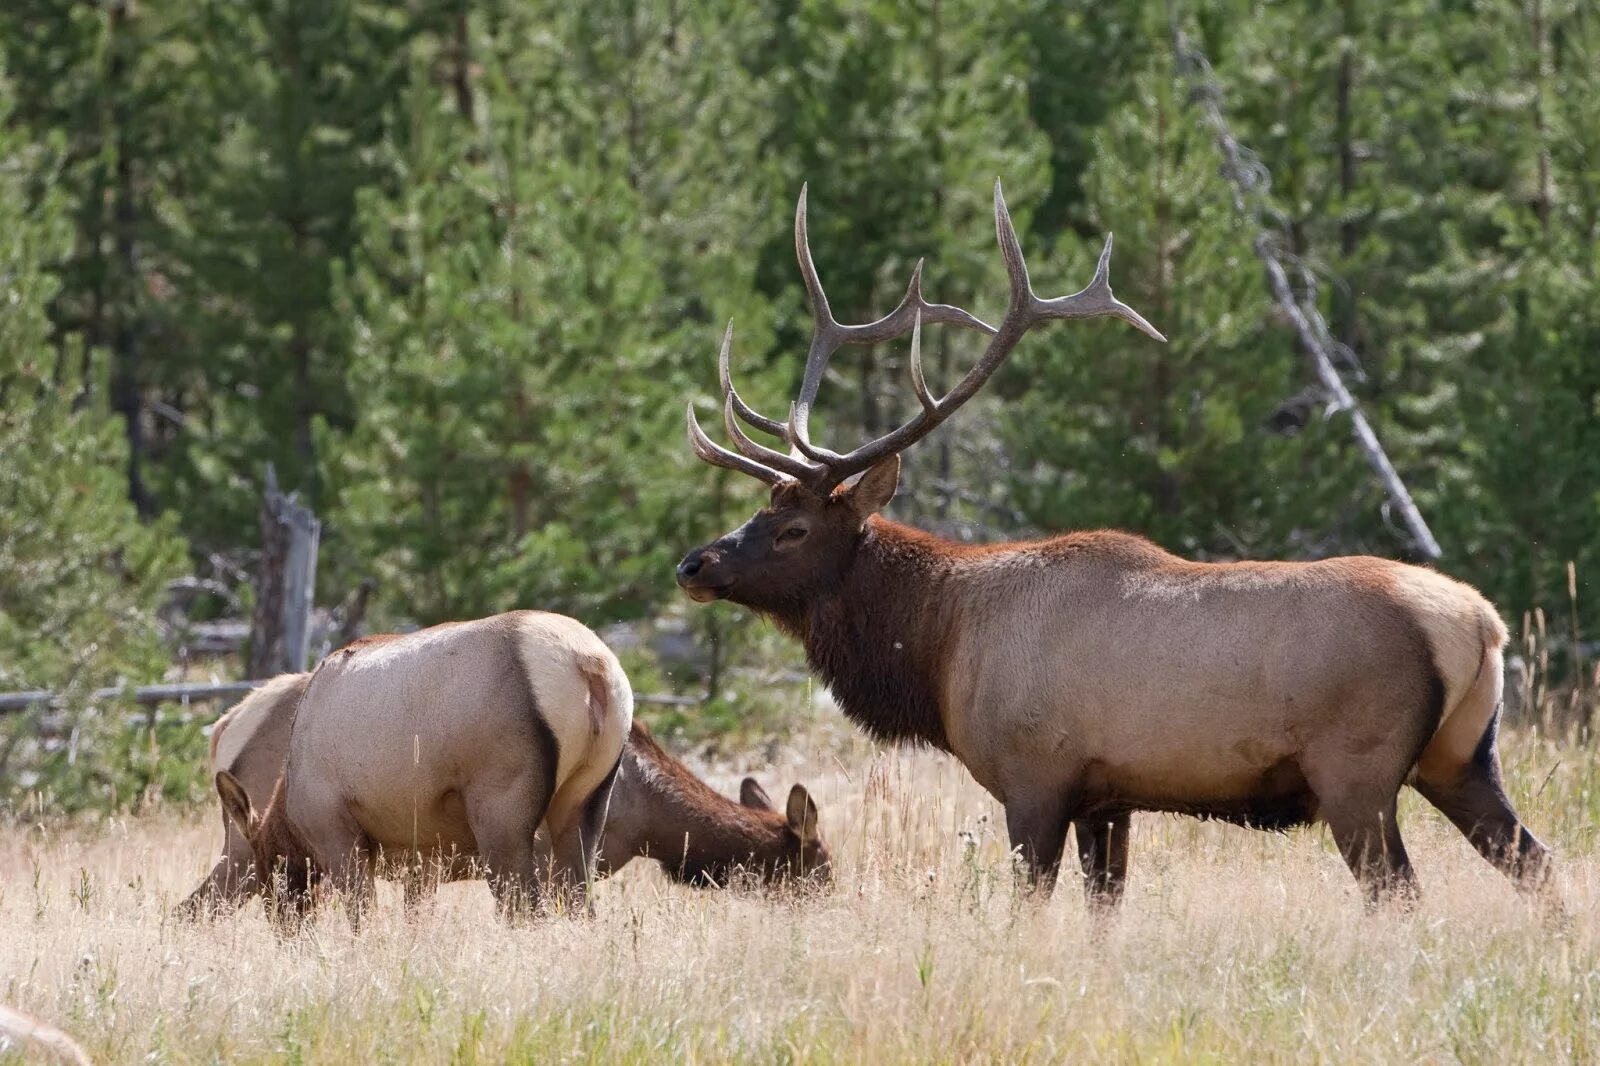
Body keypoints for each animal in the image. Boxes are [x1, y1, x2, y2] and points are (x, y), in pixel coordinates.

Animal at [211, 605, 630, 921]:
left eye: (273, 872)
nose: (286, 930)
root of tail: (588, 663)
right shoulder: (424, 854)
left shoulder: (336, 833)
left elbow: (363, 917)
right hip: (588, 800)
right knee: (581, 904)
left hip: (502, 811)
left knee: (525, 908)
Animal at [675, 178, 1548, 902]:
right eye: (759, 509)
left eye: (793, 527)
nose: (693, 563)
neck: (937, 645)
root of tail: (1482, 624)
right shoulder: (1109, 796)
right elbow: (1105, 905)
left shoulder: (1035, 777)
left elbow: (1029, 903)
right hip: (1461, 758)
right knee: (1537, 864)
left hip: (1357, 771)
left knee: (1401, 890)